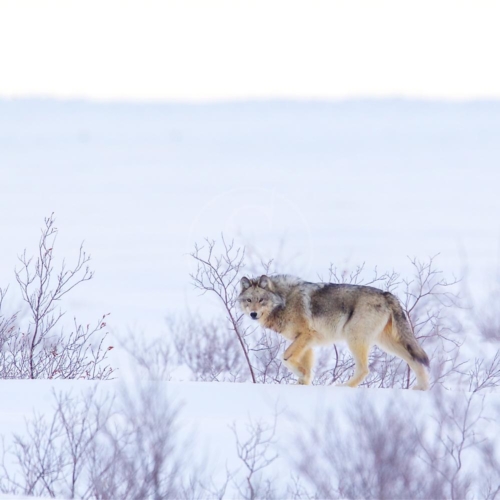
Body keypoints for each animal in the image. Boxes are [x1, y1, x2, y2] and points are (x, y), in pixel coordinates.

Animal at [238, 276, 430, 388]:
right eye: (249, 300)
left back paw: (343, 387)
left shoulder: (306, 335)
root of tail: (386, 294)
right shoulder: (306, 342)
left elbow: (285, 358)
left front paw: (302, 375)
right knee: (414, 360)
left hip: (354, 338)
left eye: (261, 300)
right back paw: (421, 389)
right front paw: (303, 382)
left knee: (364, 370)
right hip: (386, 344)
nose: (253, 314)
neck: (284, 301)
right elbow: (306, 366)